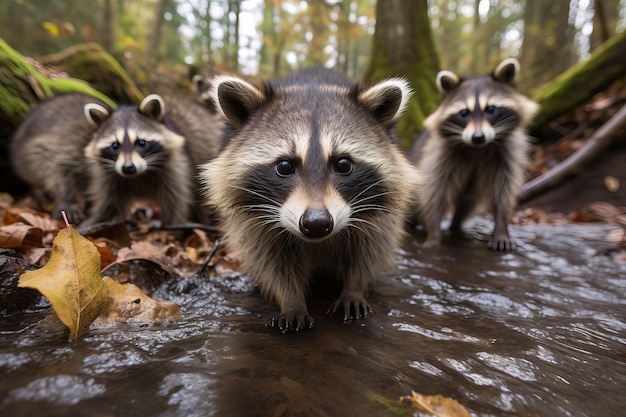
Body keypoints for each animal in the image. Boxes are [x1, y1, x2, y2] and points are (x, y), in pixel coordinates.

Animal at [80, 93, 222, 226]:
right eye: (115, 145)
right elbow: (109, 204)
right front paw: (94, 221)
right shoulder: (109, 177)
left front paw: (172, 229)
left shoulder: (177, 166)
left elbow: (174, 201)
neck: (138, 176)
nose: (128, 168)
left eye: (141, 142)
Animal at [200, 69, 420, 332]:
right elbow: (271, 260)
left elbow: (369, 249)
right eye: (284, 166)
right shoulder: (254, 223)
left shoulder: (377, 215)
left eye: (343, 164)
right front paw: (291, 300)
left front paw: (354, 288)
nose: (316, 223)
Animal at [410, 57, 536, 249]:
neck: (478, 148)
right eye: (464, 113)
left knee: (467, 203)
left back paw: (456, 227)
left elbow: (503, 189)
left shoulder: (506, 153)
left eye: (490, 109)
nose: (478, 137)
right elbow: (435, 191)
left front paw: (501, 226)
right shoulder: (440, 154)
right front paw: (433, 231)